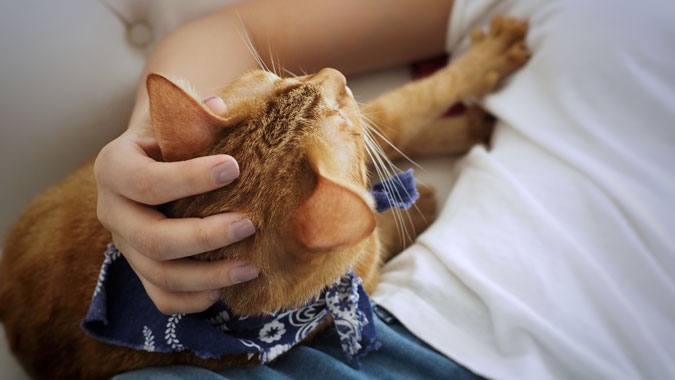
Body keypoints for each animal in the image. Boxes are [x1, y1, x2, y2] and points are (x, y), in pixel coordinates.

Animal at [0, 15, 528, 380]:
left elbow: (396, 124)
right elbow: (404, 110)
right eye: (334, 108)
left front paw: (467, 128)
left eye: (282, 80)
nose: (335, 71)